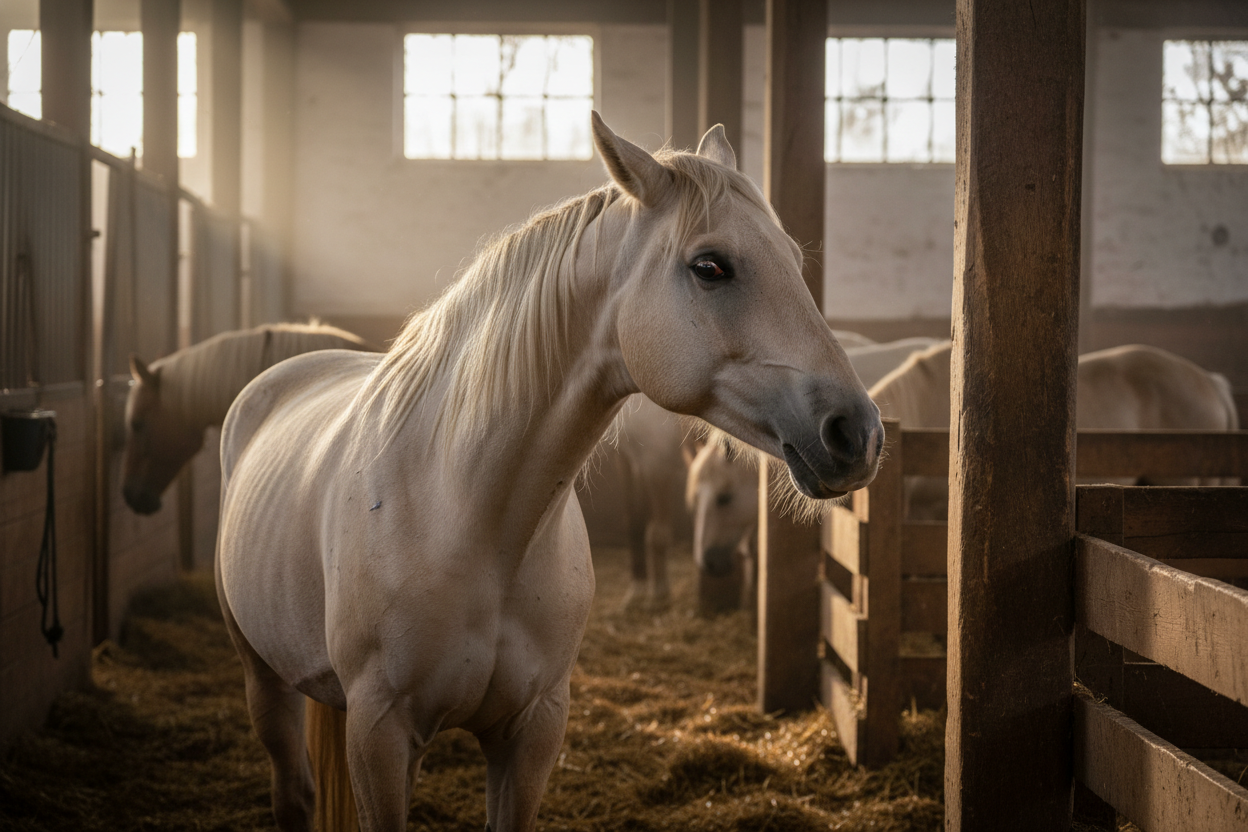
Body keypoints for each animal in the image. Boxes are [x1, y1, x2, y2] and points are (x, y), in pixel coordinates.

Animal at [214, 113, 883, 832]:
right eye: (711, 266)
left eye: (793, 257)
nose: (858, 432)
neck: (465, 517)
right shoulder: (380, 731)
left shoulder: (532, 729)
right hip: (263, 677)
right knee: (292, 788)